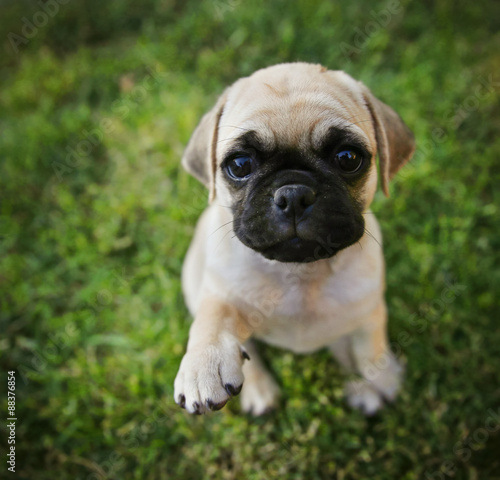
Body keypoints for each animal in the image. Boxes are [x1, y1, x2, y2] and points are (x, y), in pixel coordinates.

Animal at [174, 62, 416, 416]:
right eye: (240, 165)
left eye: (347, 158)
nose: (293, 194)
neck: (301, 273)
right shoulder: (220, 293)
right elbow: (213, 318)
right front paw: (203, 364)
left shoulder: (369, 314)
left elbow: (370, 349)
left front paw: (379, 378)